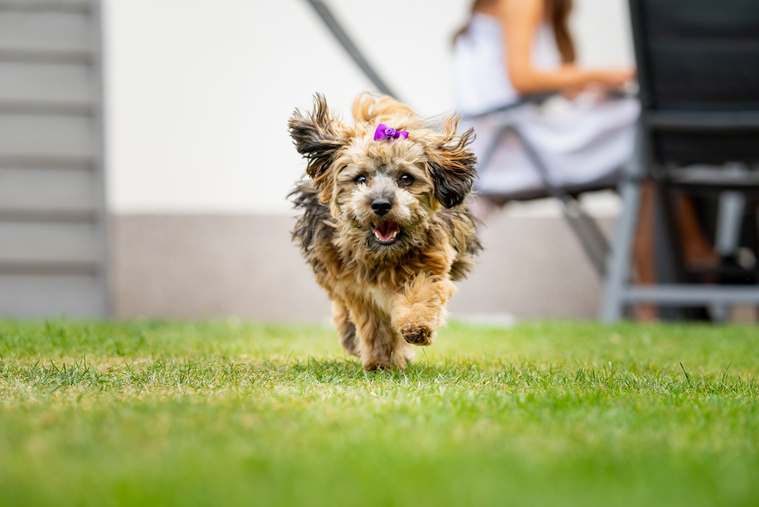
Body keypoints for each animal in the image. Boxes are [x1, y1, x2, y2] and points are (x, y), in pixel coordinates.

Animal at [290, 93, 480, 372]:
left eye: (406, 178)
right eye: (360, 179)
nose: (380, 204)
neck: (383, 255)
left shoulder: (430, 265)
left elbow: (422, 293)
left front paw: (416, 327)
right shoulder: (356, 288)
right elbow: (374, 325)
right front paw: (379, 362)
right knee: (343, 311)